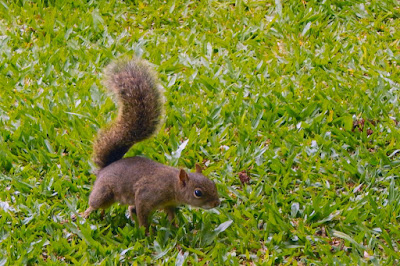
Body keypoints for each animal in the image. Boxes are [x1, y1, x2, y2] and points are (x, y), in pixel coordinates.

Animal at [80, 57, 220, 231]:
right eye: (198, 193)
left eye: (213, 183)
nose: (217, 203)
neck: (172, 185)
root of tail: (104, 169)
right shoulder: (145, 196)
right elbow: (142, 214)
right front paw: (146, 232)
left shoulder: (169, 204)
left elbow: (170, 214)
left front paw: (175, 227)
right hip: (104, 192)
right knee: (96, 203)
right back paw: (84, 214)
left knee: (124, 208)